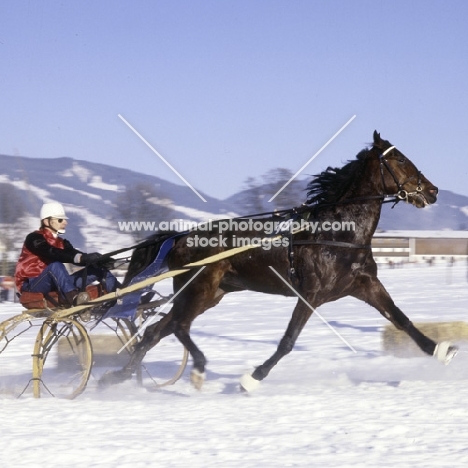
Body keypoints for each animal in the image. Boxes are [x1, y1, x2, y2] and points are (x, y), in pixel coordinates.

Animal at [103, 132, 458, 392]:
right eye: (399, 159)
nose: (433, 190)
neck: (337, 233)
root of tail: (181, 236)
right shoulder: (311, 294)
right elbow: (288, 340)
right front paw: (252, 378)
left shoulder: (365, 284)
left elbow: (401, 320)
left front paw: (441, 351)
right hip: (199, 288)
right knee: (177, 326)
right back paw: (198, 368)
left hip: (209, 294)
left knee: (157, 330)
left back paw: (117, 376)